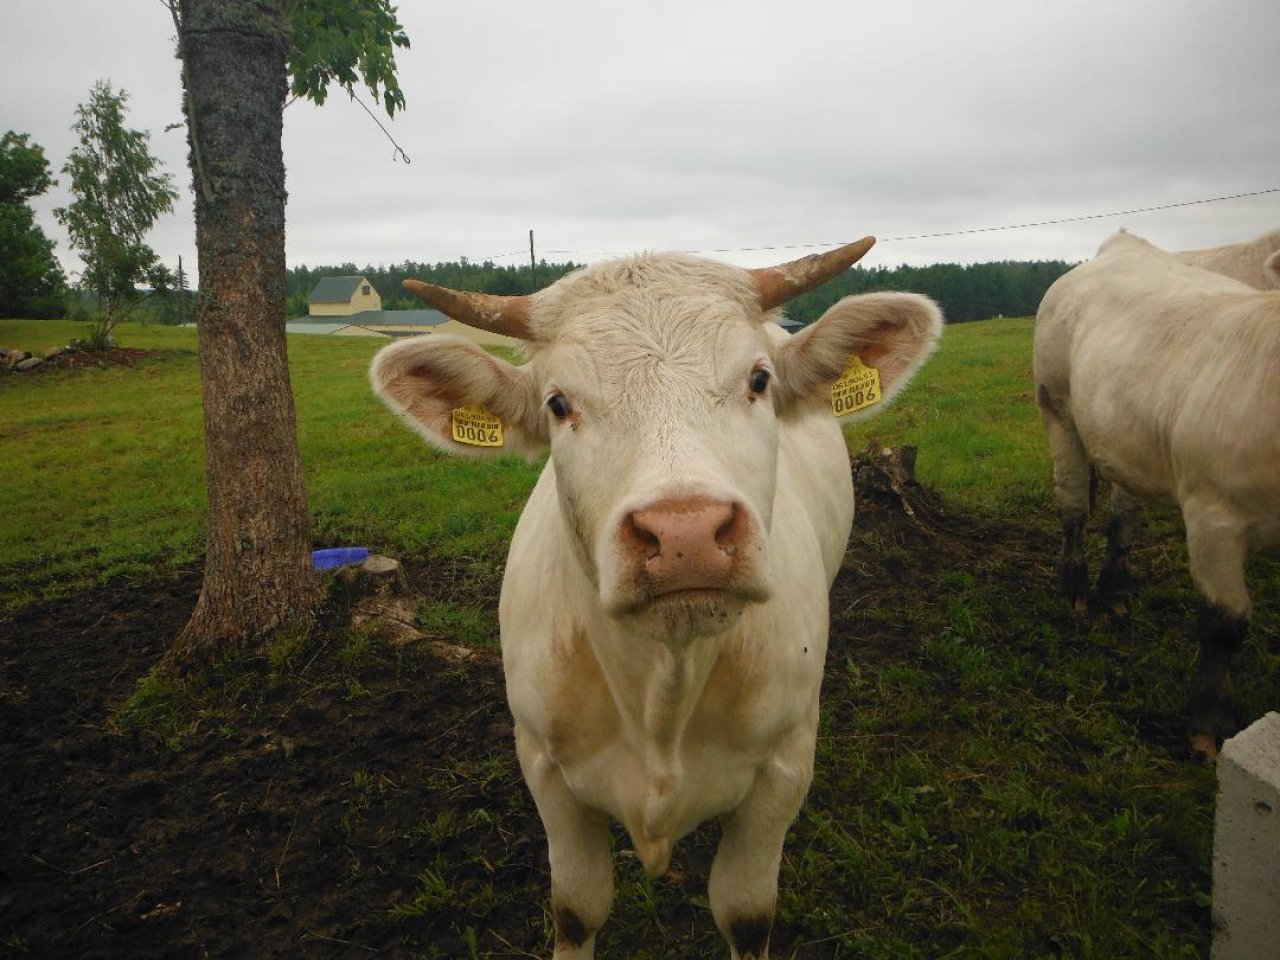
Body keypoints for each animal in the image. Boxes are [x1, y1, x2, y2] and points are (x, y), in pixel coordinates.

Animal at [370, 236, 942, 958]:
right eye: (558, 404)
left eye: (759, 380)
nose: (686, 532)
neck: (661, 691)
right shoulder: (543, 764)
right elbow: (576, 908)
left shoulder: (784, 767)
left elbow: (746, 913)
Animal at [1033, 229, 1280, 759]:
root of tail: (1122, 245)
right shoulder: (1213, 515)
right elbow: (1224, 625)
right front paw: (1207, 724)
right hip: (1057, 406)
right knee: (1073, 504)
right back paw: (1076, 588)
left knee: (1123, 510)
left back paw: (1116, 588)